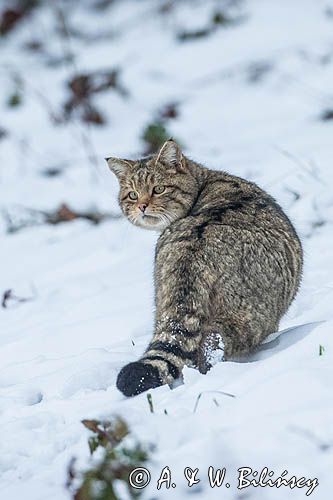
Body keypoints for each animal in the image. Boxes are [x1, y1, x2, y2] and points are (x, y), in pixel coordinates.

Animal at [105, 139, 300, 396]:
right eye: (132, 194)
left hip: (164, 303)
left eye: (159, 189)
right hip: (250, 314)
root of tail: (193, 249)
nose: (142, 206)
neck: (204, 181)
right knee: (216, 342)